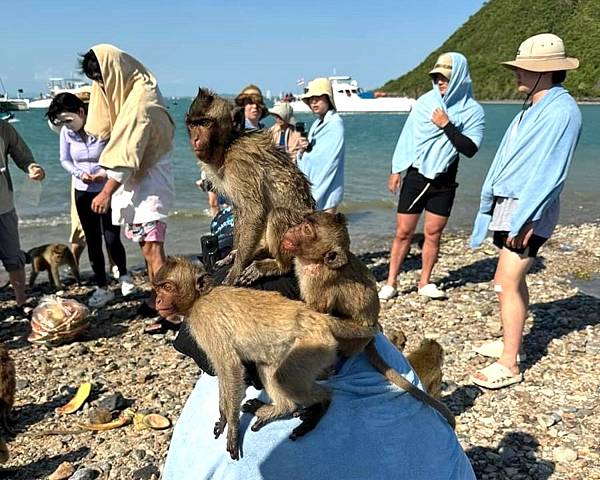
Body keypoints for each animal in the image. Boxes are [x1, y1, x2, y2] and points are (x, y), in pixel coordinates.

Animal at [154, 256, 380, 460]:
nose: (157, 300)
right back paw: (284, 408)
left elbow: (229, 366)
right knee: (268, 367)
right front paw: (223, 416)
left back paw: (322, 401)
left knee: (286, 378)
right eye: (158, 289)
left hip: (315, 345)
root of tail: (318, 318)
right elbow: (225, 370)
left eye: (167, 287)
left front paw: (232, 427)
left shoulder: (205, 319)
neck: (200, 298)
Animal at [185, 87, 316, 284]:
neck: (229, 144)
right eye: (193, 125)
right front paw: (234, 254)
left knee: (278, 214)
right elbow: (240, 210)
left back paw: (279, 265)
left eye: (205, 123)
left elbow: (254, 212)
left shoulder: (240, 164)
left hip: (304, 235)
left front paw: (236, 269)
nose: (195, 139)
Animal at [282, 212, 454, 430]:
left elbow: (317, 314)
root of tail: (369, 341)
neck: (316, 260)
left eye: (306, 230)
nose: (291, 228)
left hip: (357, 340)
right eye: (303, 222)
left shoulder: (319, 280)